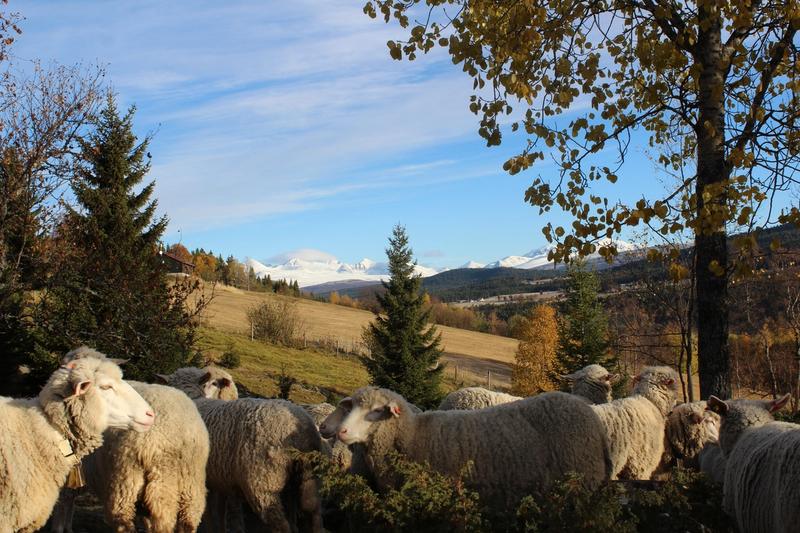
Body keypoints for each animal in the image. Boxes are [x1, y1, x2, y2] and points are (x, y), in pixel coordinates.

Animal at [159, 368, 324, 528]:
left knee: (281, 524)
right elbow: (219, 512)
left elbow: (209, 515)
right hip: (306, 479)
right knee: (313, 512)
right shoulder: (220, 480)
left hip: (263, 482)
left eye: (214, 384)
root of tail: (303, 431)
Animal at [334, 384, 608, 510]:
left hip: (579, 486)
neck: (414, 435)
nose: (341, 431)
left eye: (376, 410)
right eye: (351, 407)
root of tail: (592, 417)